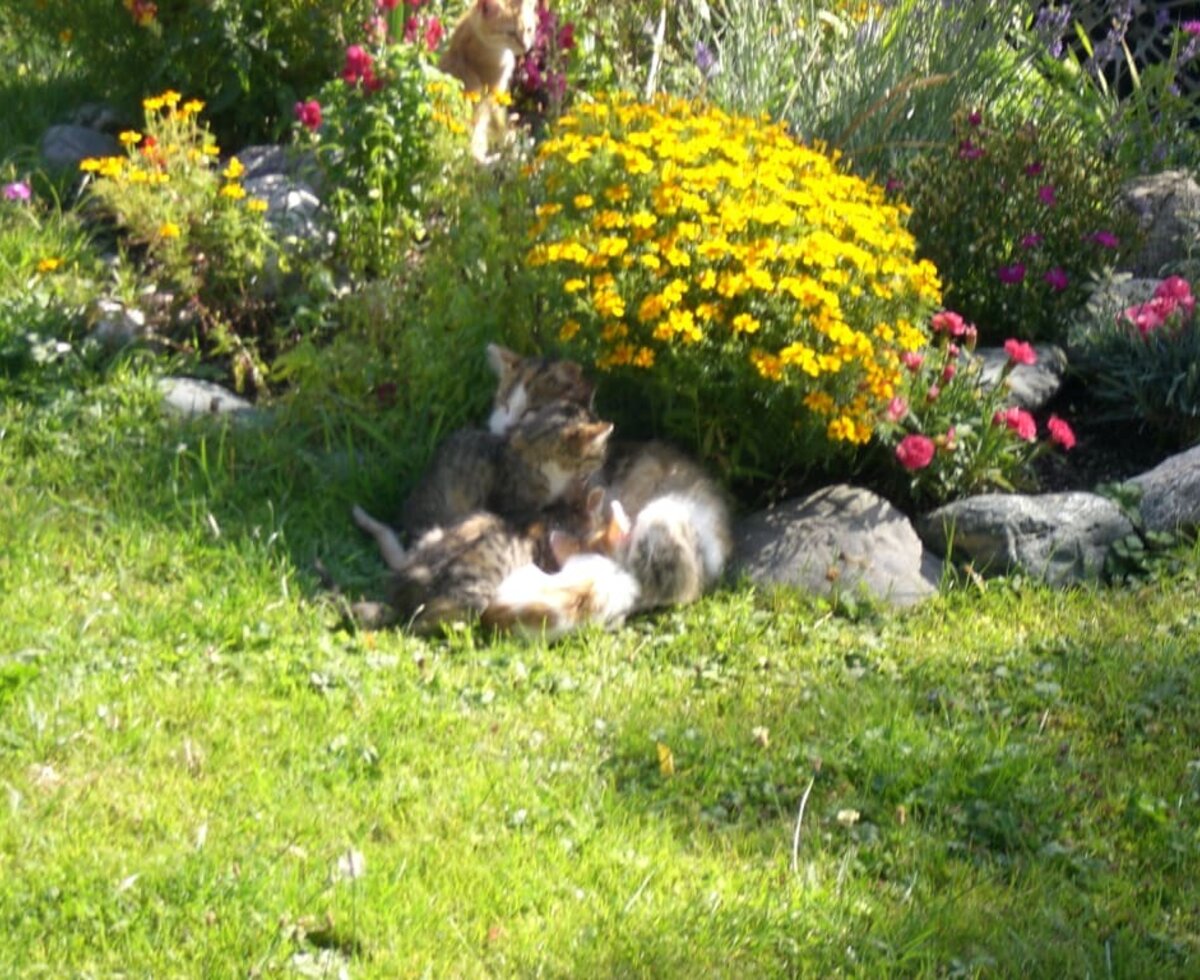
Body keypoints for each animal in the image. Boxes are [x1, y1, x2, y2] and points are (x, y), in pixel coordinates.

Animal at [439, 0, 537, 161]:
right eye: (510, 33)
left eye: (529, 29)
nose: (526, 47)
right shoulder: (494, 93)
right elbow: (500, 125)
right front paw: (510, 141)